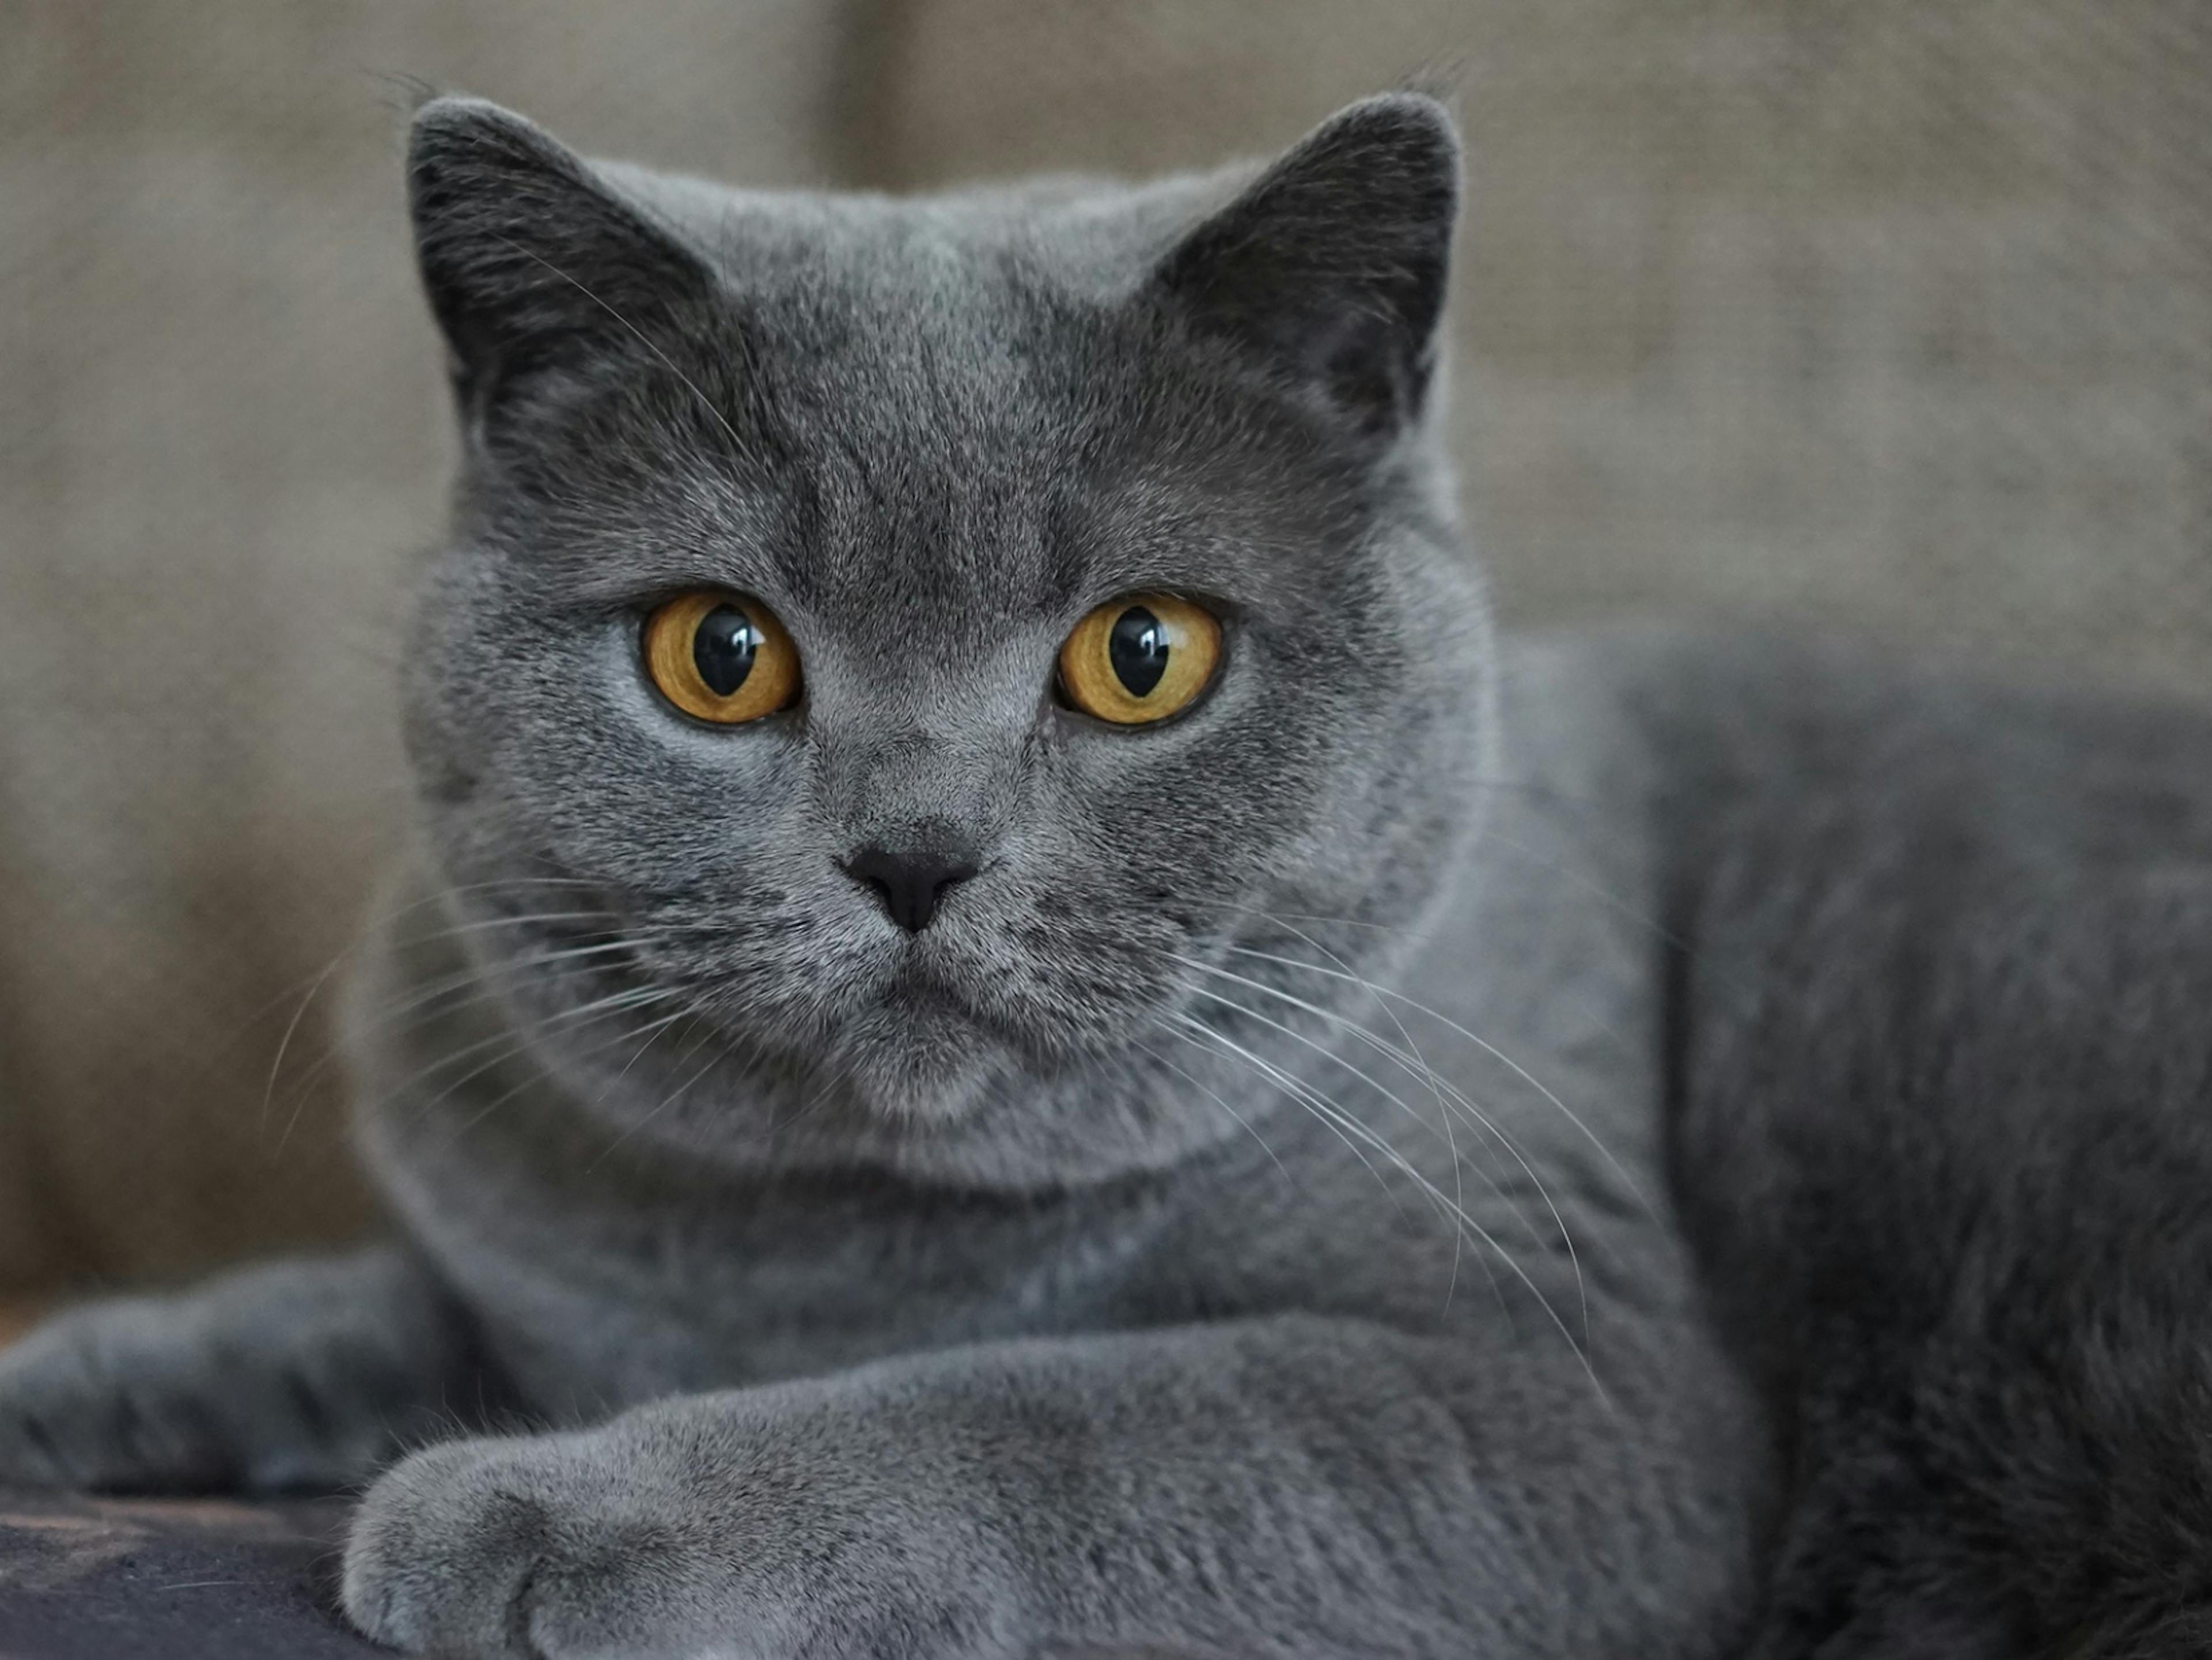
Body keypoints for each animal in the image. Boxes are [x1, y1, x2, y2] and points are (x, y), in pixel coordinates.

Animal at [4, 88, 2212, 1660]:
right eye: (719, 654)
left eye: (1141, 655)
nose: (913, 852)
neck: (832, 1265)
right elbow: (355, 1294)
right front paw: (81, 1376)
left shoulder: (1563, 1399)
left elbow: (1041, 1414)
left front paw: (550, 1510)